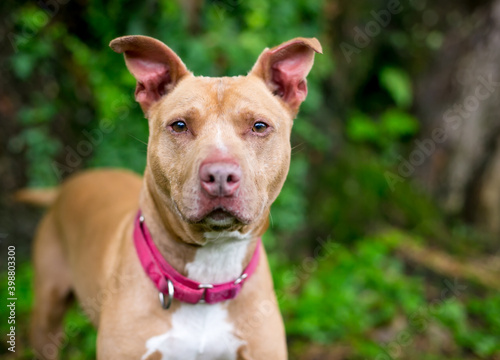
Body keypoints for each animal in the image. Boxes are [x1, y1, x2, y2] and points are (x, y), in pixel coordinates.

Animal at [20, 34, 320, 360]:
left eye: (259, 126)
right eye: (179, 125)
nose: (220, 176)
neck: (208, 277)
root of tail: (66, 187)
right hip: (47, 313)